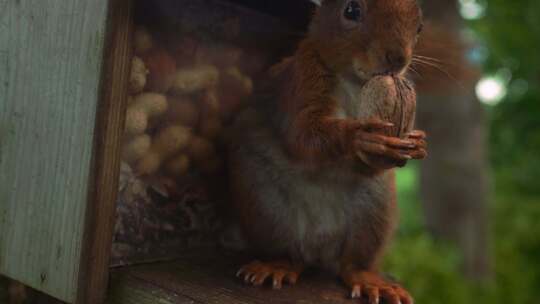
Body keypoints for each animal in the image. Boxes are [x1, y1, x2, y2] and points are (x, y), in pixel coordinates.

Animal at [227, 1, 426, 302]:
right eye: (351, 10)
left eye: (419, 26)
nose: (398, 59)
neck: (356, 82)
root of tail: (320, 247)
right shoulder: (302, 79)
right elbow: (304, 135)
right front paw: (360, 137)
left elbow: (372, 164)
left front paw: (417, 143)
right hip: (262, 203)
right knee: (289, 254)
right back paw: (277, 264)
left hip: (375, 211)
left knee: (352, 265)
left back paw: (371, 281)